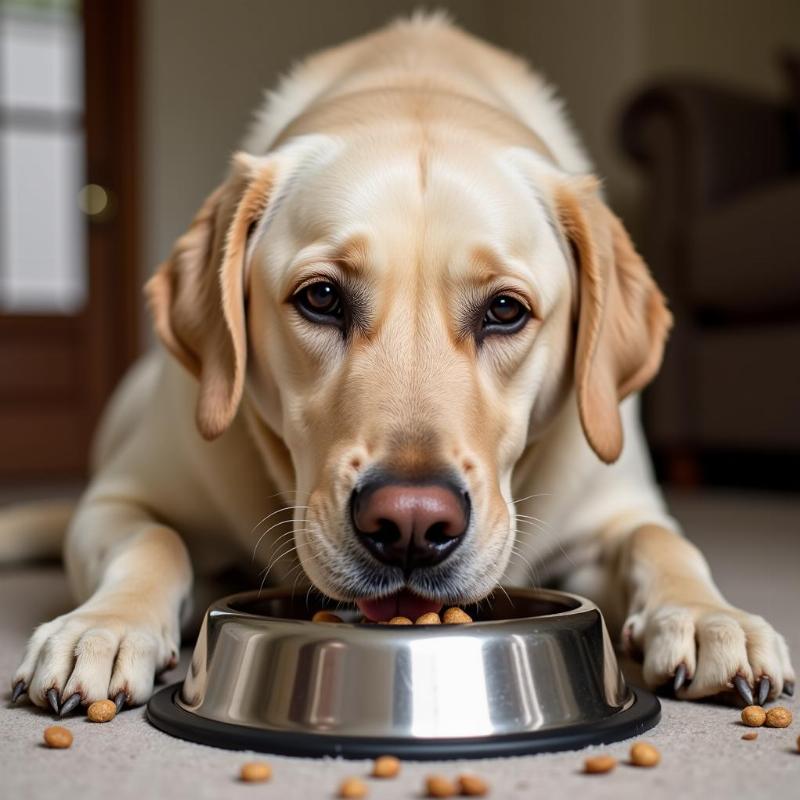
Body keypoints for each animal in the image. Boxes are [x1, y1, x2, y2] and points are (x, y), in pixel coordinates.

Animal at [6, 12, 792, 712]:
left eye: (505, 311)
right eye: (321, 297)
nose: (411, 526)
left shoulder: (615, 509)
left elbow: (662, 540)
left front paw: (710, 617)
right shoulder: (117, 499)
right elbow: (154, 538)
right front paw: (104, 626)